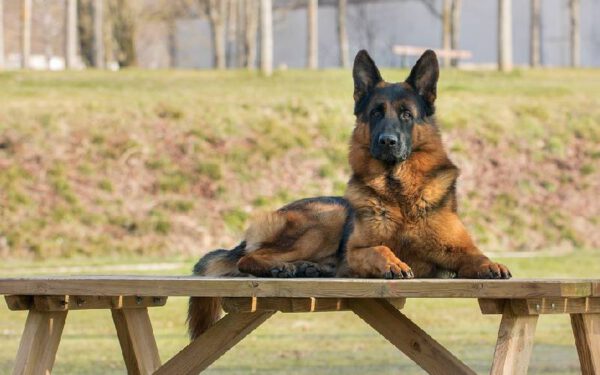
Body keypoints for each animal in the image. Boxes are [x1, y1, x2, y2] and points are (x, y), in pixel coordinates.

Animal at [188, 48, 510, 340]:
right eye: (376, 113)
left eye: (407, 114)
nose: (387, 141)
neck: (399, 193)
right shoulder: (355, 253)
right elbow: (379, 249)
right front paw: (393, 262)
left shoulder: (458, 250)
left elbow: (476, 255)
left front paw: (491, 265)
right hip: (325, 221)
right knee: (248, 258)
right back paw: (282, 267)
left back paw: (307, 269)